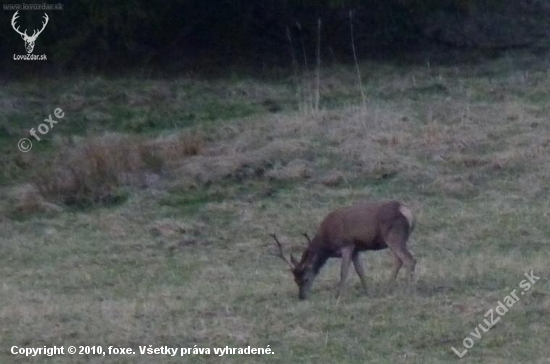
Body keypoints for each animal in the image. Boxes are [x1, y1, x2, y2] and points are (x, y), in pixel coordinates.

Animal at [272, 200, 418, 300]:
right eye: (295, 280)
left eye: (306, 279)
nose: (301, 297)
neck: (327, 242)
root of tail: (406, 211)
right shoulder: (356, 250)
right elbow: (360, 271)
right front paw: (368, 292)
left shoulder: (347, 245)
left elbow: (343, 271)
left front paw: (338, 294)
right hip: (394, 240)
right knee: (399, 261)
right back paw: (387, 289)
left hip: (394, 237)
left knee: (410, 260)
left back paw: (407, 290)